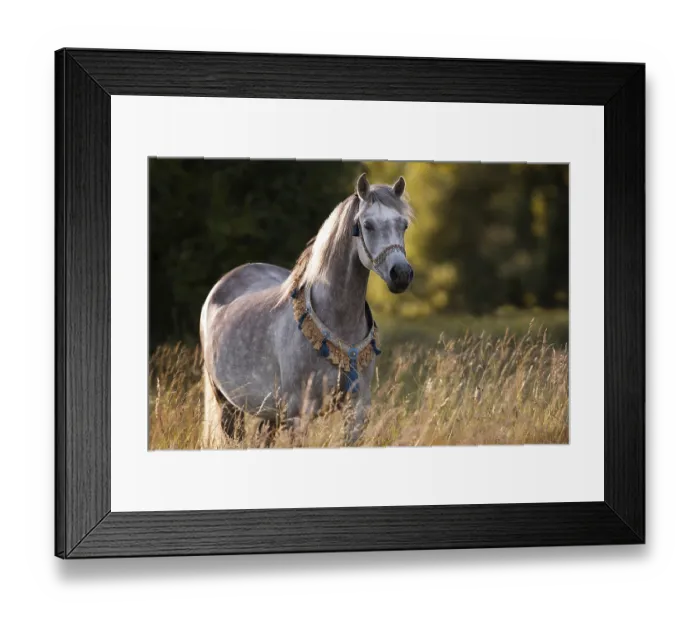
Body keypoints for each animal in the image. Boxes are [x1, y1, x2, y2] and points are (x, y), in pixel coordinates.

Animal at [199, 173, 414, 448]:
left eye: (403, 225)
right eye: (368, 225)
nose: (401, 274)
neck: (338, 324)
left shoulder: (356, 411)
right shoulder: (298, 414)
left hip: (269, 413)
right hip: (228, 404)